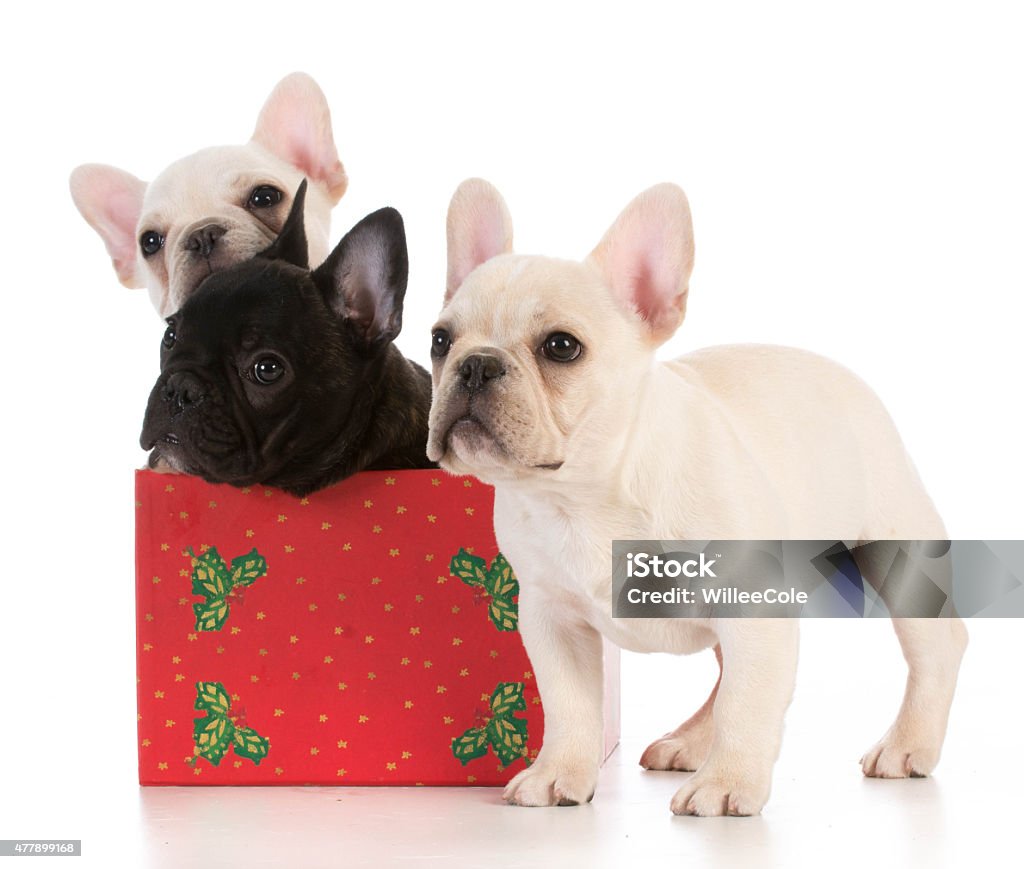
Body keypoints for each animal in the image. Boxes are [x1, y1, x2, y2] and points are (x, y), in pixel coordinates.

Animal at [425, 178, 966, 814]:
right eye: (440, 340)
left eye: (561, 346)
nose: (475, 365)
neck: (584, 496)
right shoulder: (551, 618)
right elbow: (569, 703)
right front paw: (558, 773)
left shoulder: (753, 608)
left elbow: (746, 701)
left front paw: (728, 783)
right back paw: (688, 743)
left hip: (893, 545)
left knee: (935, 645)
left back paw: (907, 745)